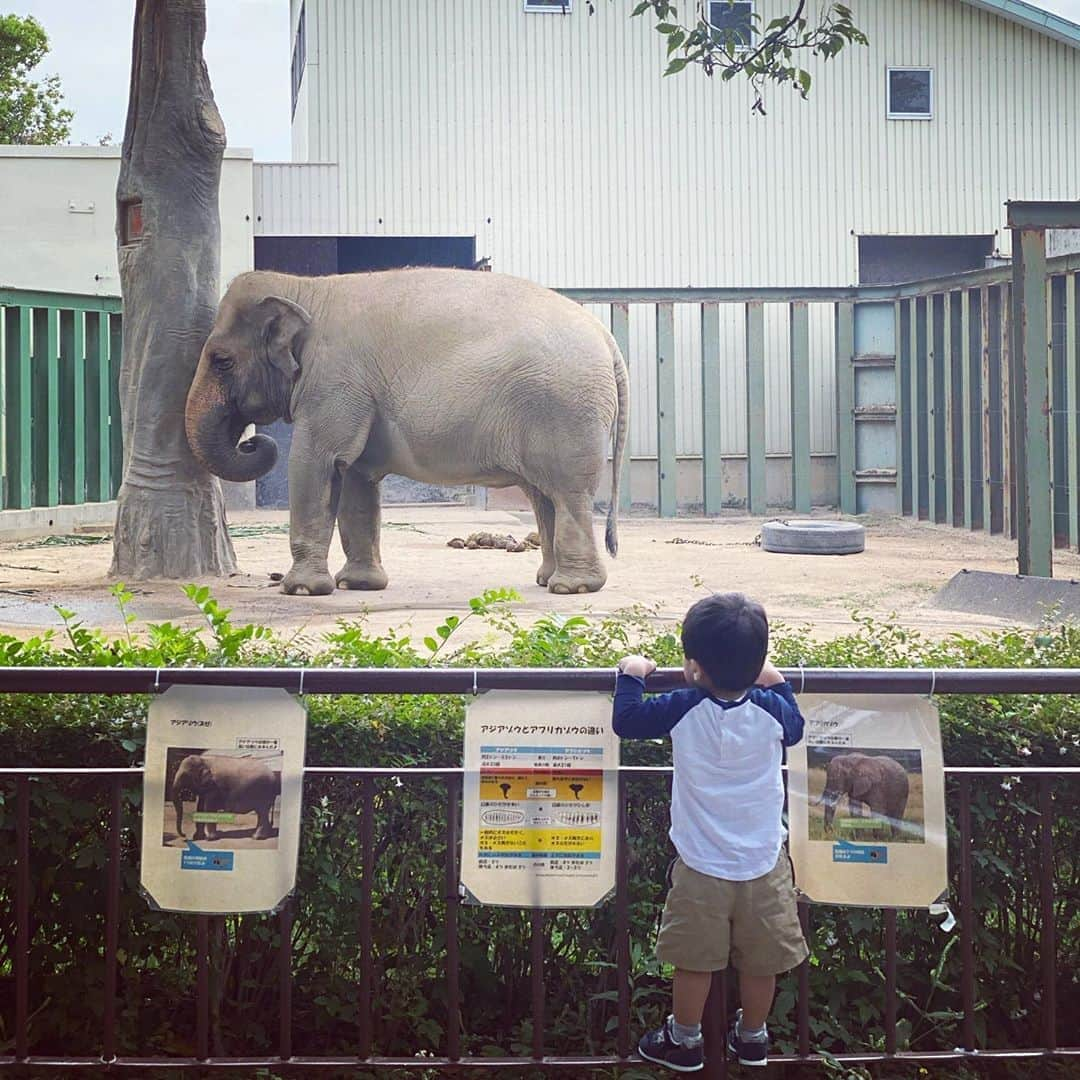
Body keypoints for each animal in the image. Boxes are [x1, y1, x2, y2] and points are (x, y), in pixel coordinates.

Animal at [183, 265, 626, 596]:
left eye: (221, 360)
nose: (253, 441)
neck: (306, 289)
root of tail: (607, 339)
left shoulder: (334, 381)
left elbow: (316, 461)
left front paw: (301, 590)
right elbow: (355, 475)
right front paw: (358, 585)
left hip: (566, 411)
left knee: (567, 493)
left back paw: (572, 588)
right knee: (543, 495)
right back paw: (546, 580)